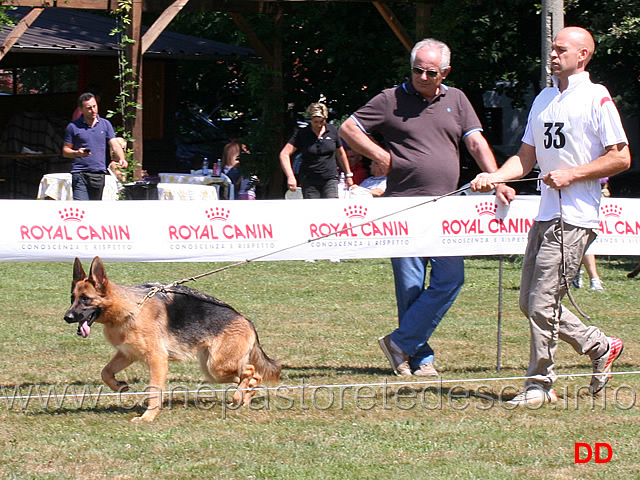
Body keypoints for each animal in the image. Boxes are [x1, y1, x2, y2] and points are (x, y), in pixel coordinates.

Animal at [63, 256, 280, 422]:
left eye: (85, 299)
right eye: (72, 298)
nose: (67, 317)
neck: (131, 308)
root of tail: (247, 321)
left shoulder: (158, 360)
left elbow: (154, 392)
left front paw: (147, 418)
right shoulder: (127, 354)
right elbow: (105, 372)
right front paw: (120, 386)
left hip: (217, 365)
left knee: (250, 371)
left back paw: (238, 396)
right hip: (213, 371)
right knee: (252, 376)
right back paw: (244, 397)